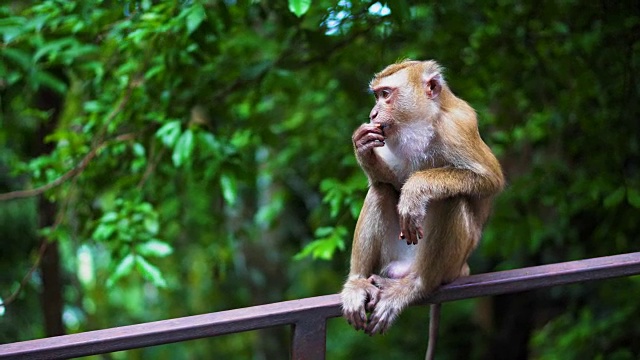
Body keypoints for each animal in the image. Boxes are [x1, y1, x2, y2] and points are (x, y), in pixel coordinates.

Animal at [342, 60, 502, 358]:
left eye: (385, 94)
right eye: (376, 95)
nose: (373, 113)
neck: (425, 120)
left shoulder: (457, 127)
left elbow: (489, 179)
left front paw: (416, 189)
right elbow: (391, 182)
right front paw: (362, 147)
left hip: (451, 264)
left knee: (449, 199)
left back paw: (416, 286)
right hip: (394, 254)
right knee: (381, 189)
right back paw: (357, 282)